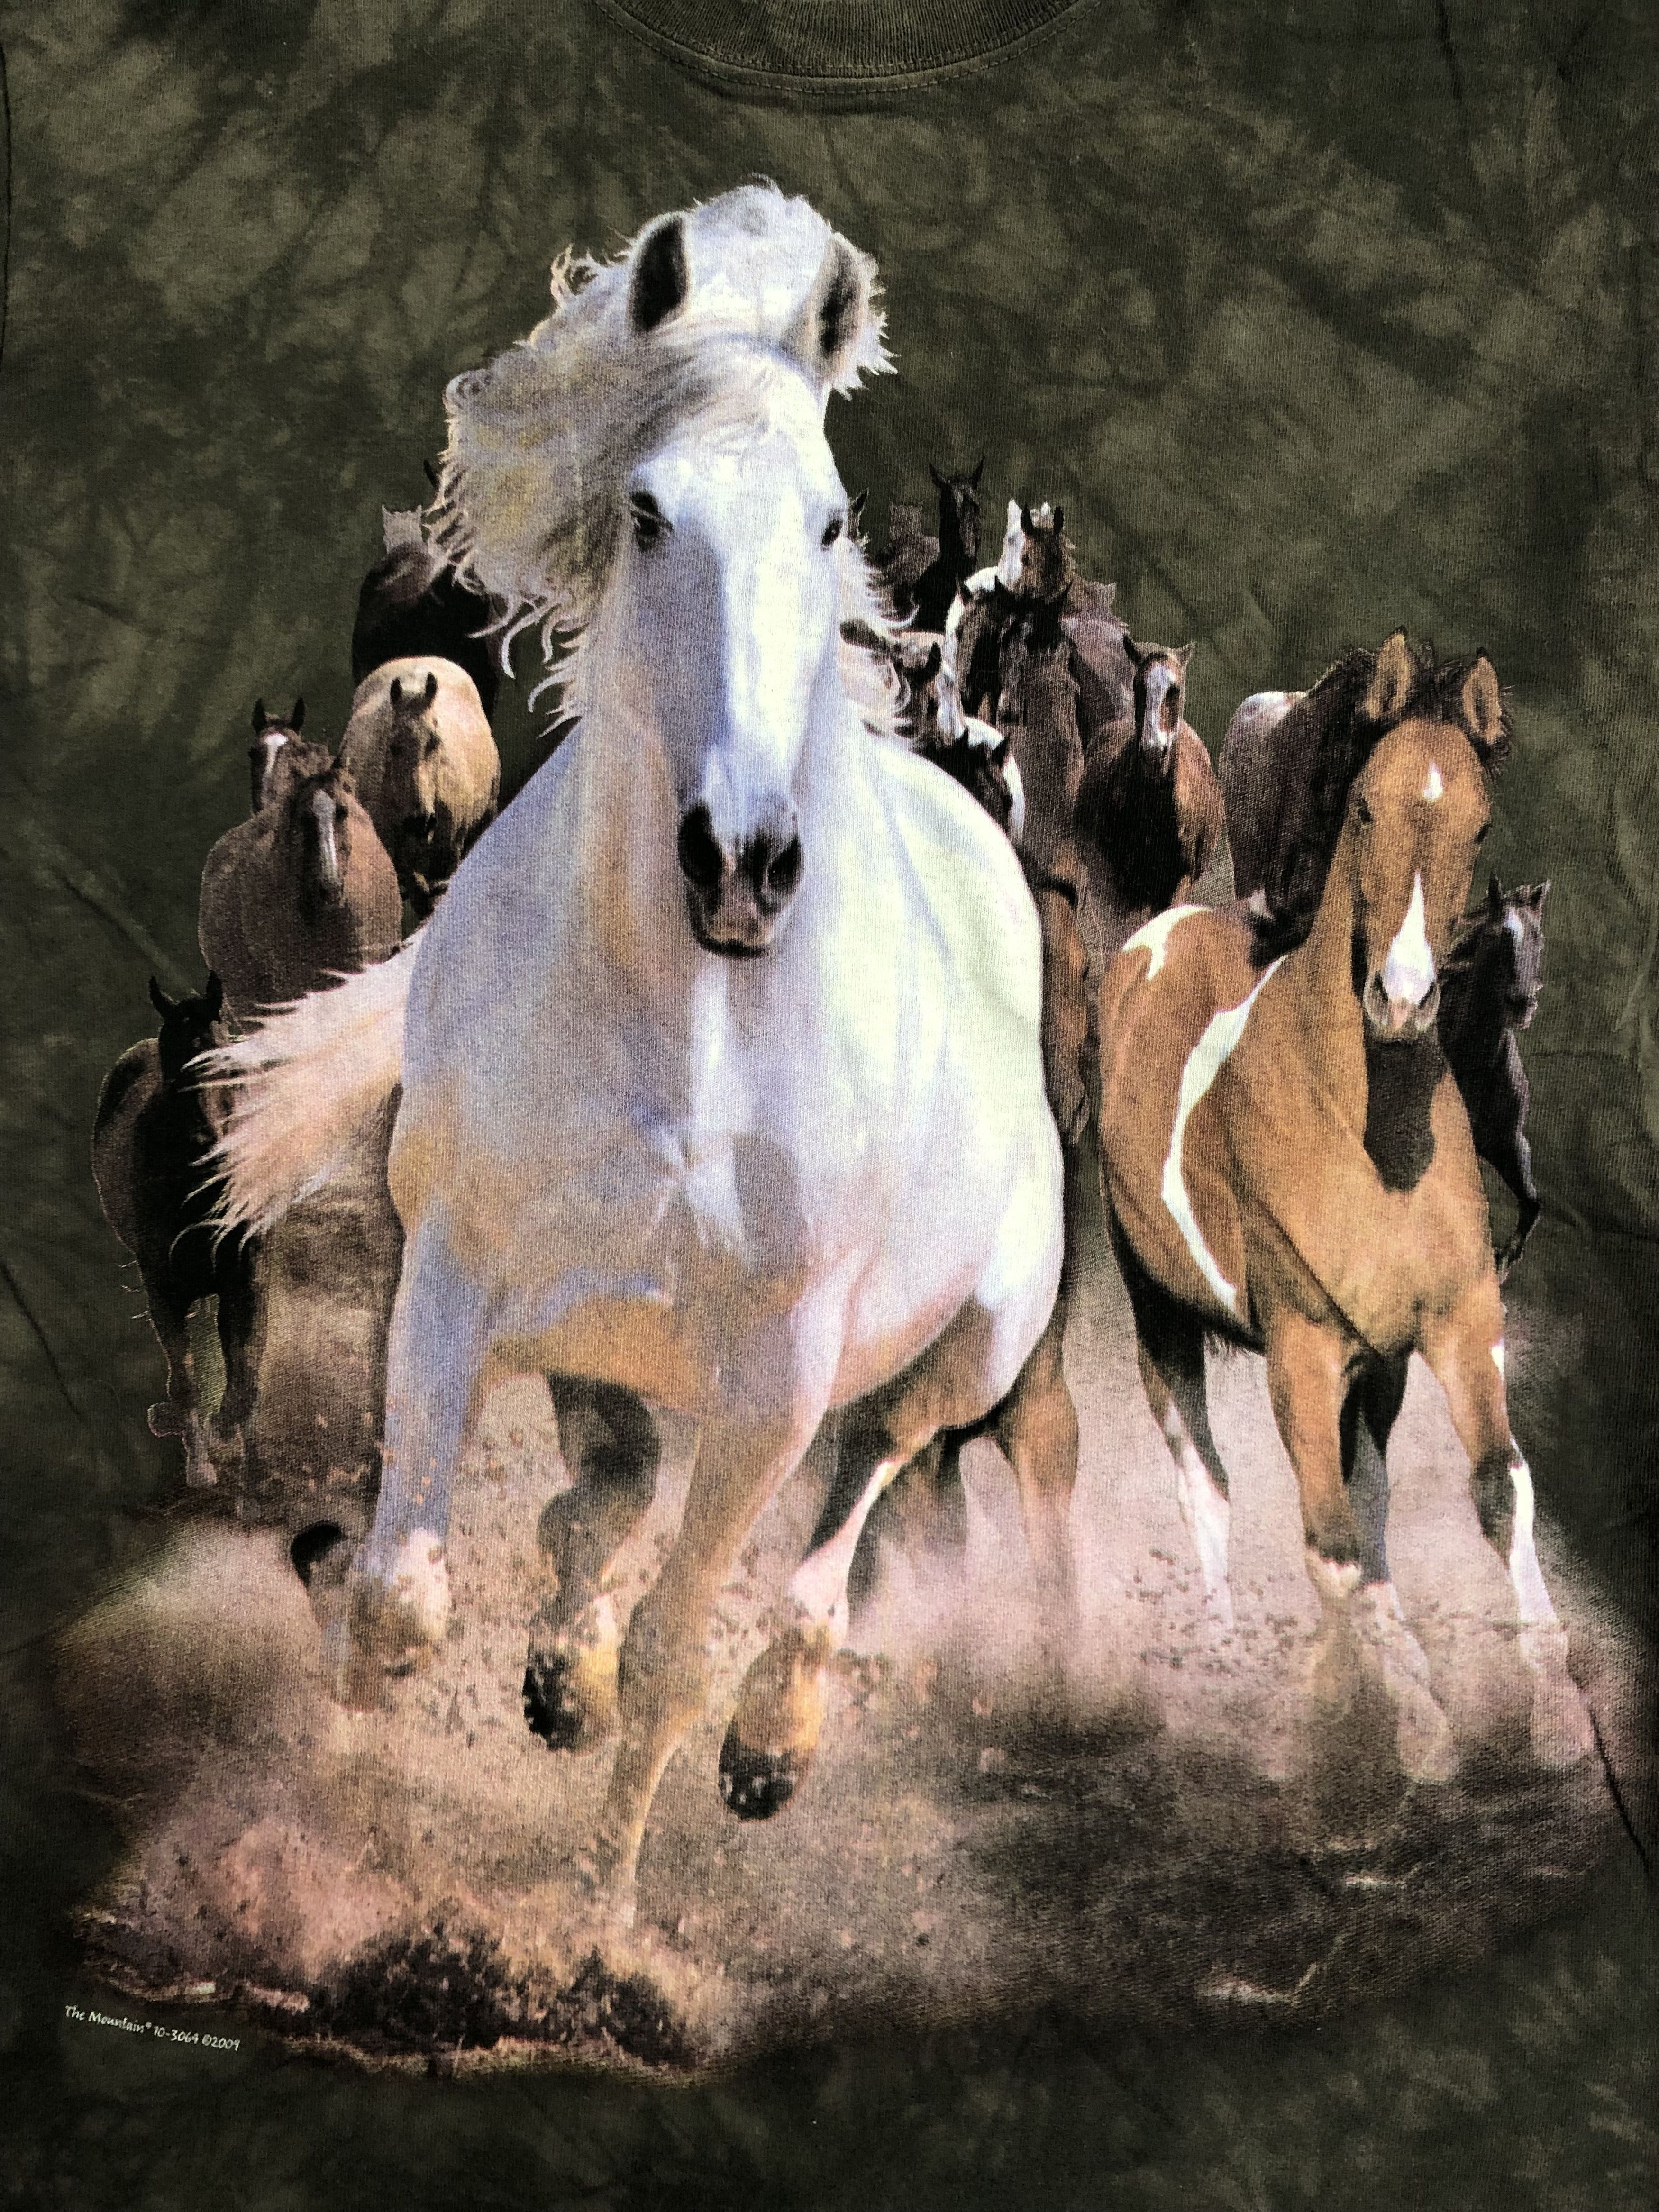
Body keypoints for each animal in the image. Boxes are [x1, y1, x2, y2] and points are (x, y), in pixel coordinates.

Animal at [91, 975, 259, 1488]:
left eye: (225, 1063)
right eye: (173, 1069)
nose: (206, 1144)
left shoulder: (242, 1278)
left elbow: (244, 1367)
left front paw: (229, 1439)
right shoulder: (162, 1288)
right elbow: (184, 1381)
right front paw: (200, 1465)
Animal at [336, 659, 500, 917]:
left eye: (435, 741)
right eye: (393, 746)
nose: (421, 821)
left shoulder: (449, 850)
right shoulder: (402, 865)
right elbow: (423, 897)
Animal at [1440, 874, 1549, 1277]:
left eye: (1539, 937)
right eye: (1495, 936)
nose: (1522, 1004)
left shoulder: (1508, 1144)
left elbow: (1531, 1204)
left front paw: (1502, 1265)